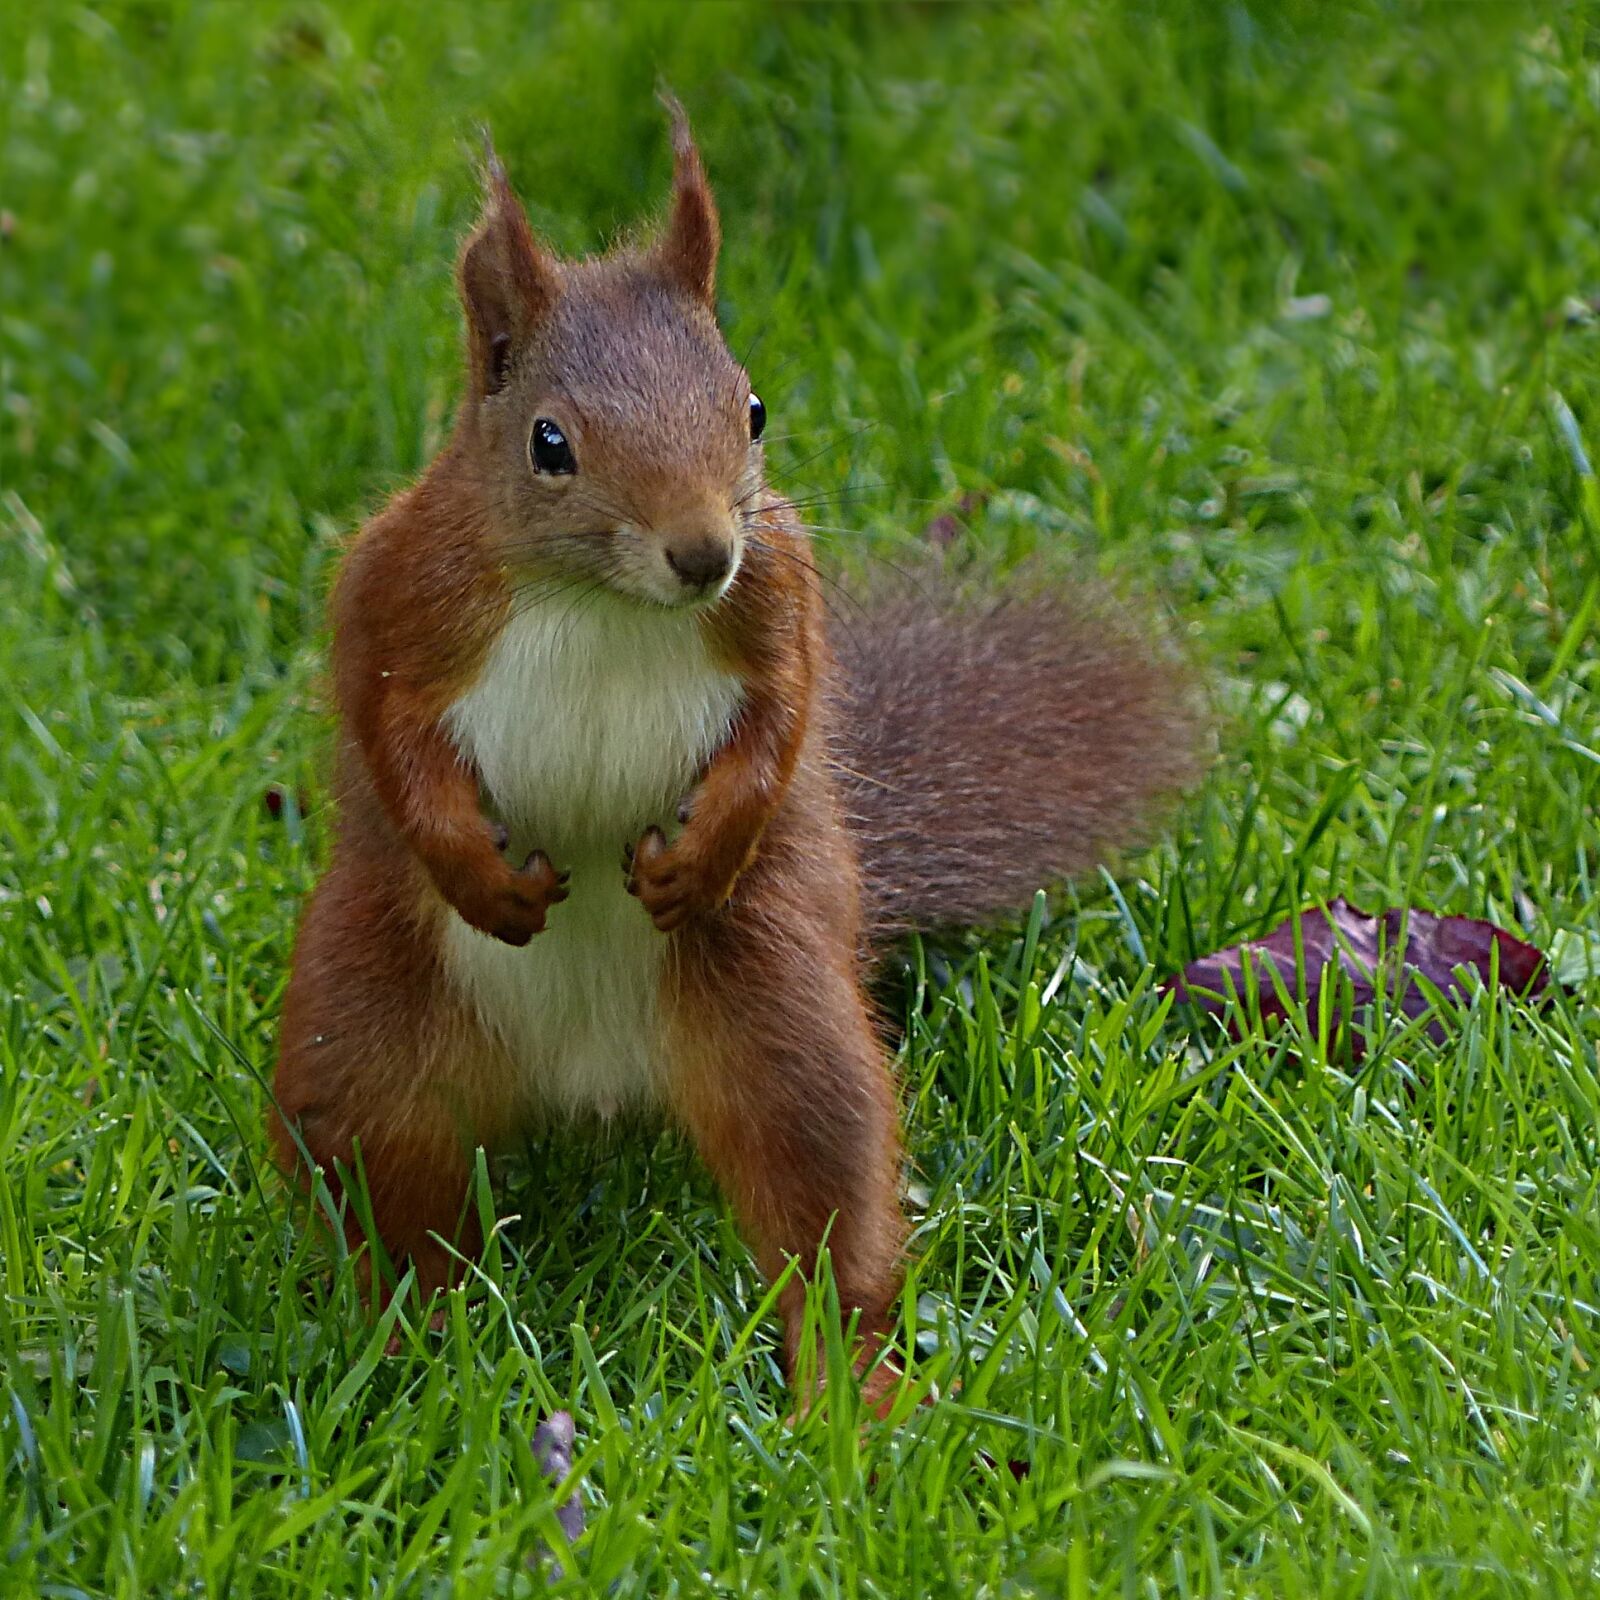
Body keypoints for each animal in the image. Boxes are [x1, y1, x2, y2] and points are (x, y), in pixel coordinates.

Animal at [272, 102, 1201, 1410]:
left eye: (751, 409)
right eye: (549, 442)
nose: (703, 551)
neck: (600, 602)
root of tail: (593, 1077)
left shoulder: (778, 594)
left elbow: (785, 719)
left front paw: (699, 850)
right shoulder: (397, 588)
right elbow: (384, 730)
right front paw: (476, 869)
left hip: (775, 1012)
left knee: (822, 1208)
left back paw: (848, 1390)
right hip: (363, 1031)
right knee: (388, 1201)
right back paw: (423, 1358)